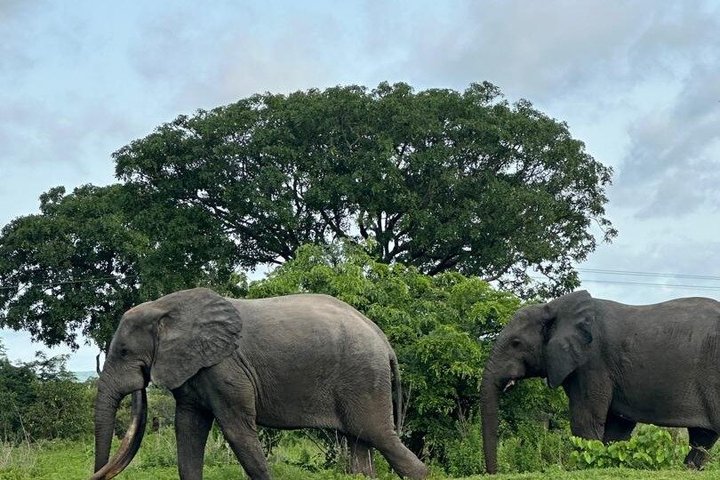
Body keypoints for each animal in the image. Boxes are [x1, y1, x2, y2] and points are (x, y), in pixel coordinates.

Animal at [91, 287, 428, 480]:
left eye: (123, 352)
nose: (140, 381)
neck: (166, 307)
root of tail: (384, 340)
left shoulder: (225, 366)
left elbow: (237, 430)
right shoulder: (196, 368)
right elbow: (188, 427)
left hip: (364, 379)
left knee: (380, 436)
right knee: (360, 446)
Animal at [480, 290, 720, 473]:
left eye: (516, 343)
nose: (495, 473)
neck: (553, 308)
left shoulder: (592, 362)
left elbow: (585, 420)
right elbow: (617, 428)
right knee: (703, 437)